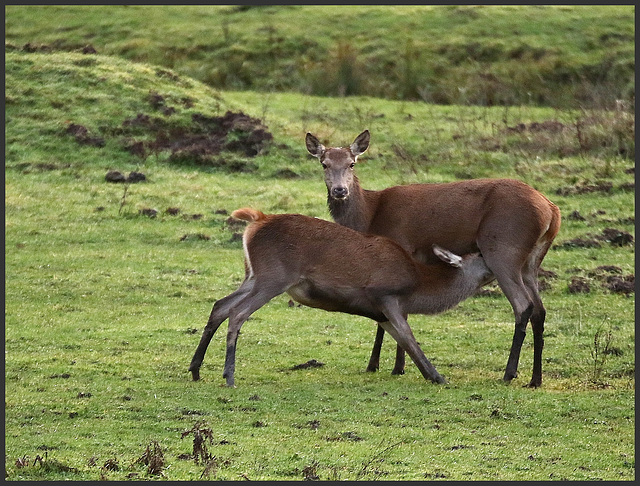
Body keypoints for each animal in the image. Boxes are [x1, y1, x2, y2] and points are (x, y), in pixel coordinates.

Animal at [188, 209, 492, 388]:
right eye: (480, 254)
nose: (495, 264)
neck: (418, 287)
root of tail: (255, 222)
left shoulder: (379, 311)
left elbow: (402, 338)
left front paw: (428, 374)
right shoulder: (386, 295)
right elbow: (409, 337)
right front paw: (438, 376)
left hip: (252, 275)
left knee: (220, 306)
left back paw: (195, 369)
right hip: (274, 276)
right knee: (238, 313)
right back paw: (229, 376)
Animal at [304, 129, 560, 388]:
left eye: (352, 163)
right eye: (324, 163)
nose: (339, 191)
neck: (369, 217)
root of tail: (552, 212)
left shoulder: (400, 250)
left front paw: (390, 367)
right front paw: (380, 365)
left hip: (502, 250)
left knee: (523, 306)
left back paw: (509, 373)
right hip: (530, 262)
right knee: (540, 310)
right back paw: (535, 379)